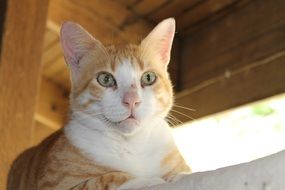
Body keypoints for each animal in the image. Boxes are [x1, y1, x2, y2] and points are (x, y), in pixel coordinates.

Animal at [7, 18, 190, 190]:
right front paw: (149, 181)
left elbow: (184, 172)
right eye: (105, 79)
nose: (132, 100)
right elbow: (109, 178)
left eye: (149, 77)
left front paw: (179, 176)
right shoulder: (57, 185)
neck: (132, 144)